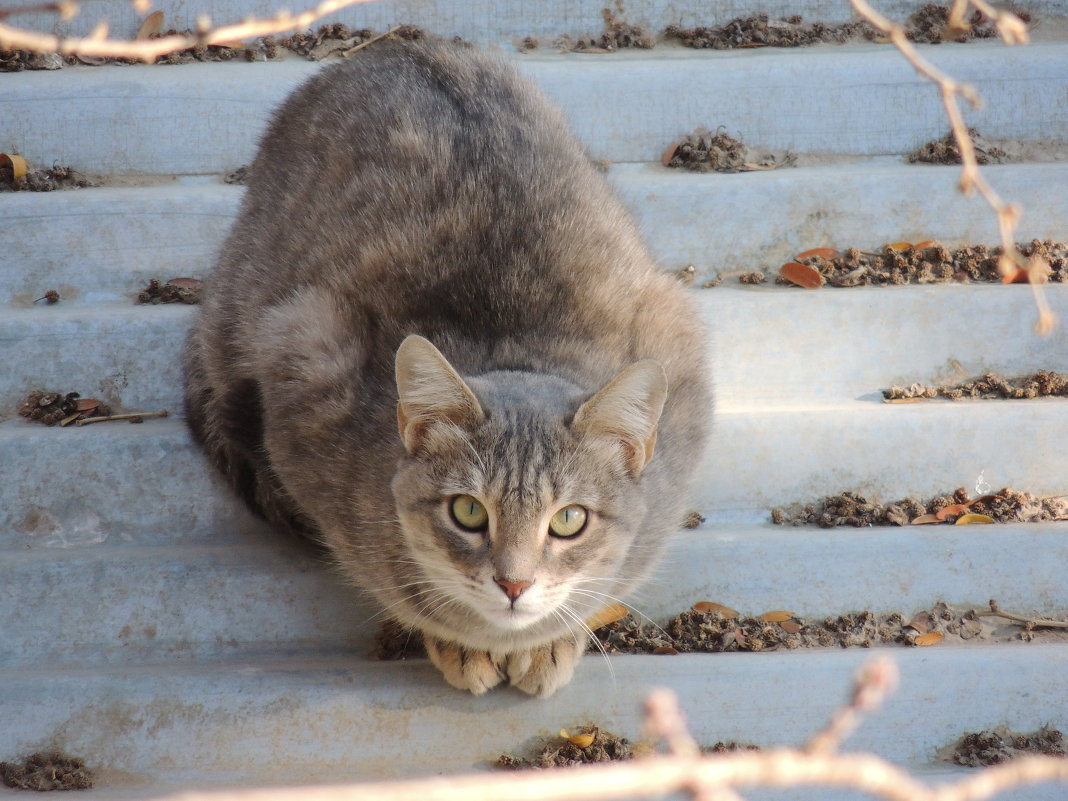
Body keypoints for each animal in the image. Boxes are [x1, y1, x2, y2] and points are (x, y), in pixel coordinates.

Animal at [183, 37, 709, 696]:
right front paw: (459, 640)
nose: (514, 584)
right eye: (468, 511)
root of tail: (394, 45)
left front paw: (552, 636)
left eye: (569, 520)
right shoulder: (302, 358)